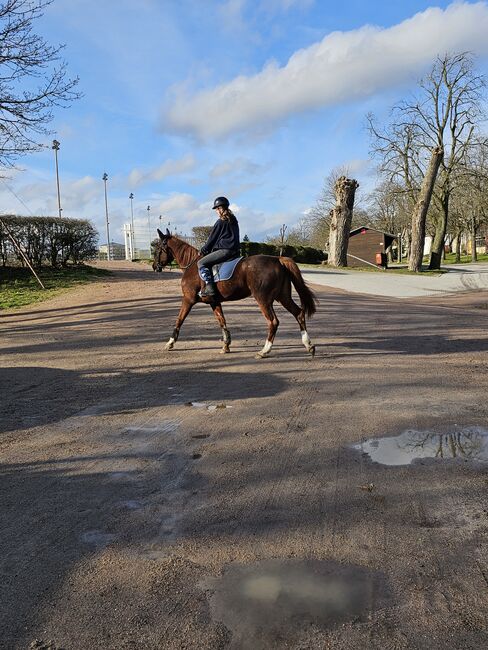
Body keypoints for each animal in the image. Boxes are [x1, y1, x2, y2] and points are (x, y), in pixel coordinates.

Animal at [154, 228, 318, 356]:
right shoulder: (214, 302)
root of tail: (277, 259)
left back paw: (265, 350)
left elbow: (179, 320)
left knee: (273, 322)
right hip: (283, 297)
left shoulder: (188, 300)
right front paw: (226, 345)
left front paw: (170, 343)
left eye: (157, 249)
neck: (192, 265)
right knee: (298, 313)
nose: (155, 267)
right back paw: (308, 345)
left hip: (263, 300)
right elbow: (222, 321)